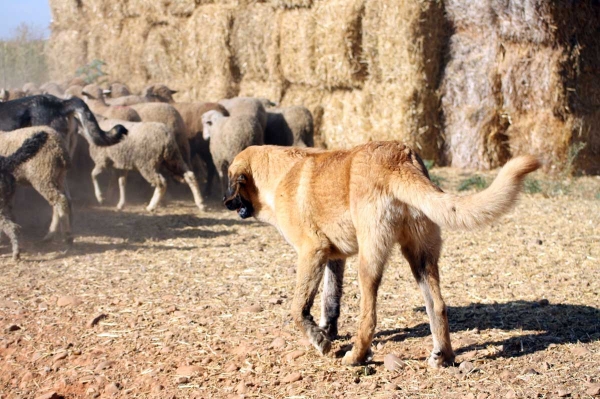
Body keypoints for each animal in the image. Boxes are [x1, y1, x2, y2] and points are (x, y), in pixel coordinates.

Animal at [224, 143, 540, 368]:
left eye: (230, 184)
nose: (225, 202)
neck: (279, 174)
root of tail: (400, 158)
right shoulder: (334, 258)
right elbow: (330, 301)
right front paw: (326, 331)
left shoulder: (312, 252)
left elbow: (298, 308)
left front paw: (319, 340)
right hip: (421, 259)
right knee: (437, 306)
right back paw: (443, 356)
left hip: (369, 261)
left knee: (370, 318)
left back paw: (356, 357)